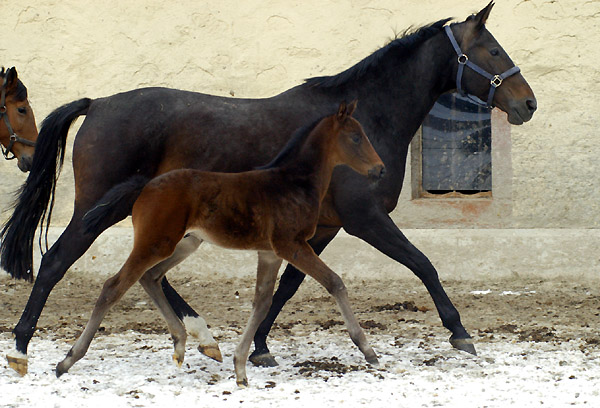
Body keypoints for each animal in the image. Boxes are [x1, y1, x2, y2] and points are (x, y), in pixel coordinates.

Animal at [57, 101, 384, 386]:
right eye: (356, 137)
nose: (380, 170)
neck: (293, 183)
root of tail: (145, 185)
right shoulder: (291, 244)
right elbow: (334, 282)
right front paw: (367, 350)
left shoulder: (269, 252)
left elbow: (262, 302)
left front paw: (240, 367)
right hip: (155, 243)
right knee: (113, 286)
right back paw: (68, 360)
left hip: (185, 243)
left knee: (150, 276)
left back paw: (180, 344)